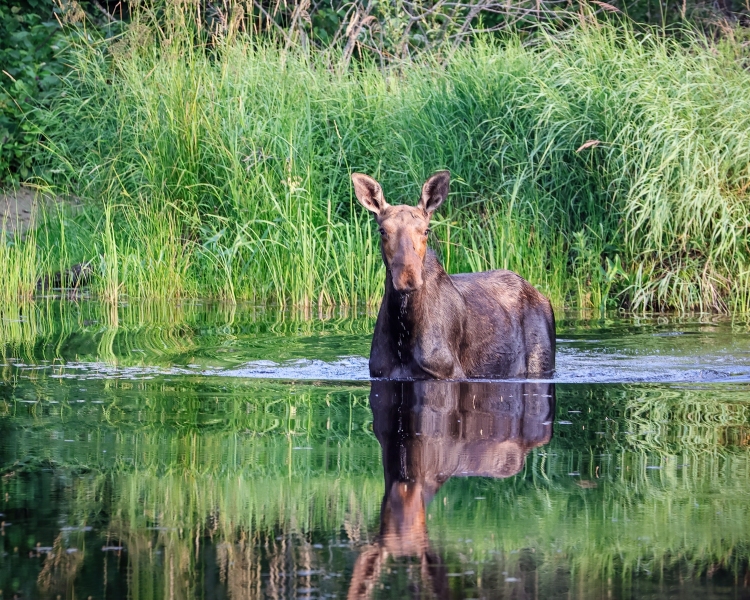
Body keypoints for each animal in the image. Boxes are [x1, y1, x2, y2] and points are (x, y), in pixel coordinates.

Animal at [351, 171, 555, 380]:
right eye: (382, 230)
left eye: (426, 230)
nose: (407, 278)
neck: (403, 333)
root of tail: (543, 297)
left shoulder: (450, 372)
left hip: (541, 361)